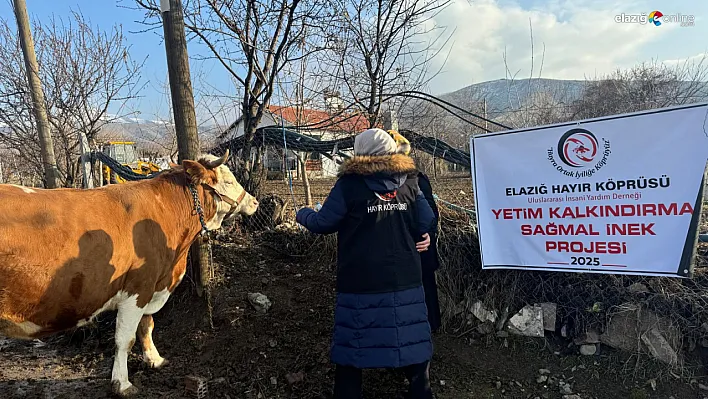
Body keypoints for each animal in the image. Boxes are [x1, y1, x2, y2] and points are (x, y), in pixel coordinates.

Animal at [0, 150, 258, 396]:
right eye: (228, 180)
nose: (254, 202)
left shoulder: (151, 285)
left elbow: (147, 324)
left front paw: (154, 359)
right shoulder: (138, 287)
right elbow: (125, 339)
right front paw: (122, 383)